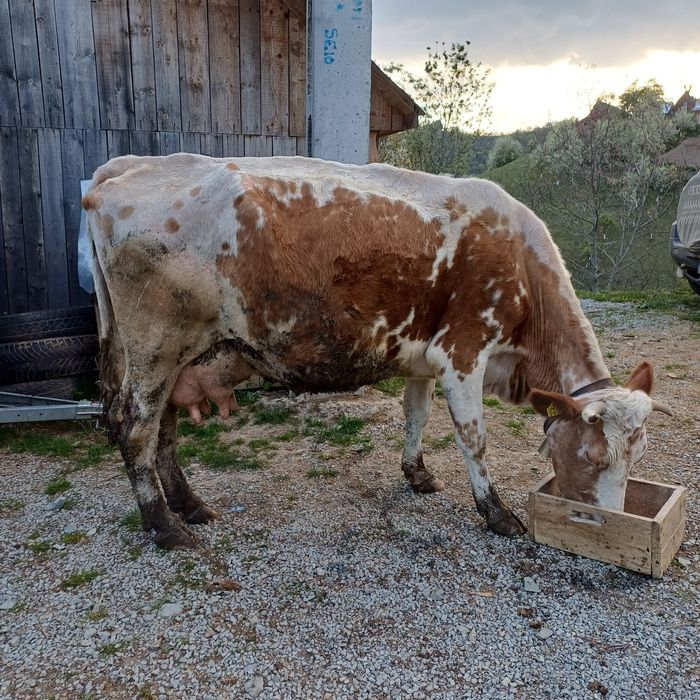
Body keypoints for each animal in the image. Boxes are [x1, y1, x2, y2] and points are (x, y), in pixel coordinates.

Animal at [83, 154, 671, 548]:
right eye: (592, 458)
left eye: (639, 456)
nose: (604, 524)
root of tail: (130, 166)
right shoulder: (463, 352)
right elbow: (474, 439)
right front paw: (496, 512)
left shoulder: (424, 358)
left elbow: (416, 416)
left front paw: (417, 475)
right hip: (156, 346)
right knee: (136, 429)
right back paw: (164, 526)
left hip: (169, 357)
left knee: (163, 429)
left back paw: (189, 505)